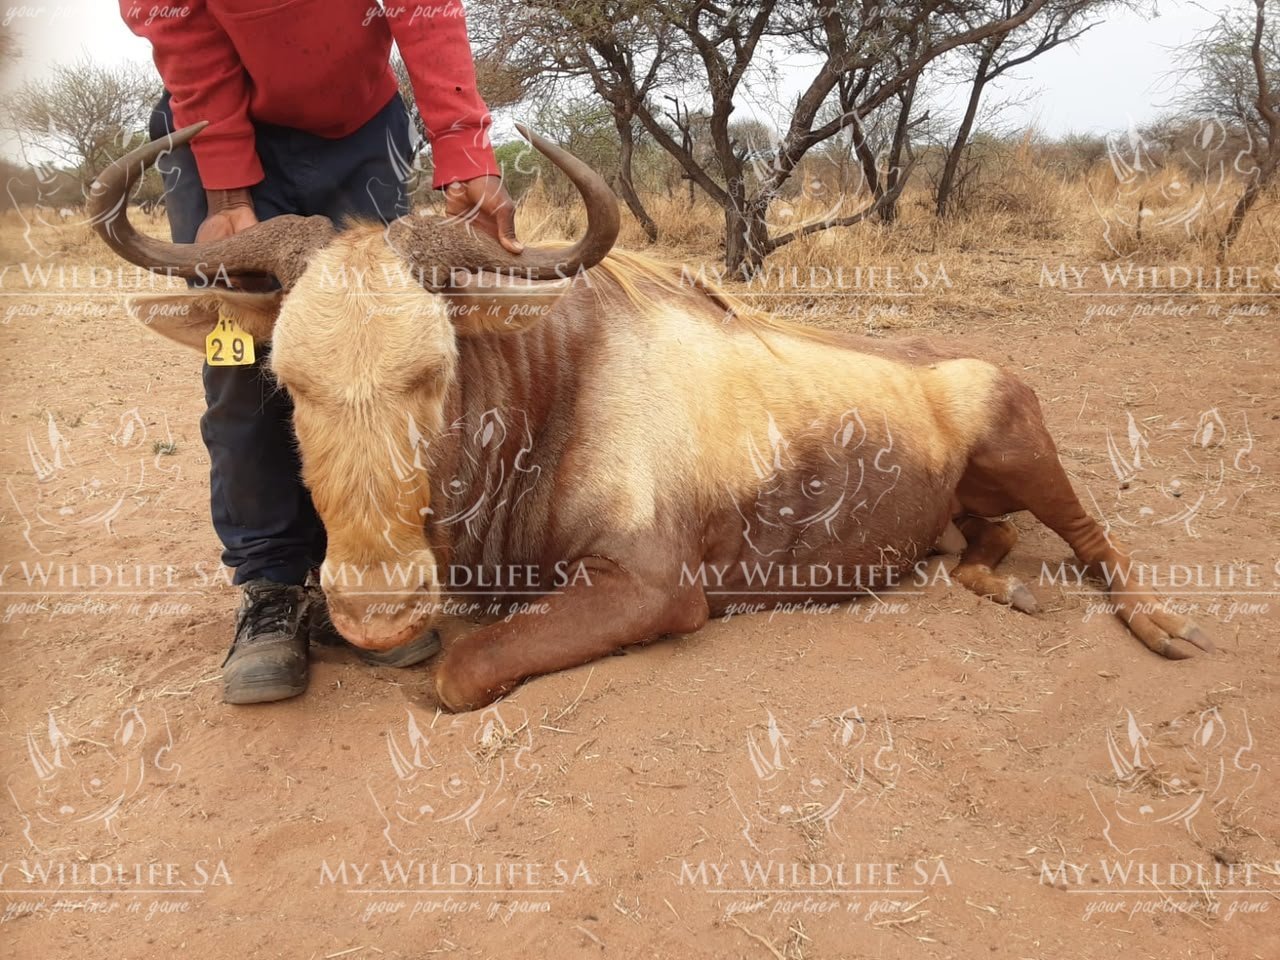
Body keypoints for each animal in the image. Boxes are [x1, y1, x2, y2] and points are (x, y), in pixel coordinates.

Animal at [88, 123, 1212, 712]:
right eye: (288, 378)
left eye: (433, 367)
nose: (373, 610)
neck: (556, 385)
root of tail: (962, 366)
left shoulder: (653, 590)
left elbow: (459, 670)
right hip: (963, 512)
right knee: (989, 547)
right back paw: (1001, 588)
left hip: (1027, 456)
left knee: (1094, 540)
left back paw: (1159, 624)